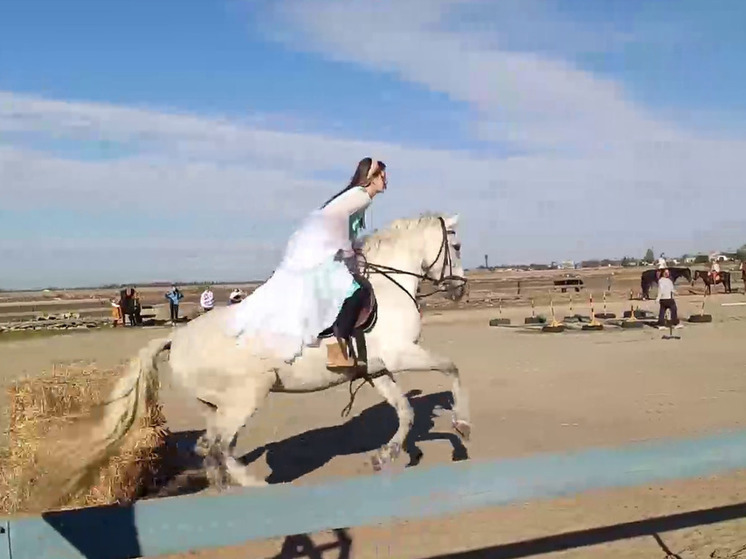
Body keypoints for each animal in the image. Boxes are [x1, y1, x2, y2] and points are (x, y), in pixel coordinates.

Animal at [58, 213, 468, 498]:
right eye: (458, 247)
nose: (460, 289)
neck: (387, 287)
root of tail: (178, 336)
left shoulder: (376, 370)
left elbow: (405, 411)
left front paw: (388, 455)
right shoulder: (401, 355)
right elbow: (451, 367)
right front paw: (461, 426)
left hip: (217, 406)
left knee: (211, 448)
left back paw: (224, 487)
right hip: (249, 394)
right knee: (219, 447)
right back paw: (255, 488)